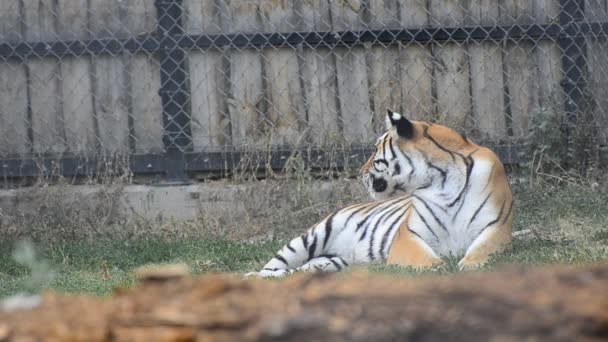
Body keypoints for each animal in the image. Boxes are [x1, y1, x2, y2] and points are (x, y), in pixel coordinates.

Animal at [245, 110, 510, 278]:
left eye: (375, 150)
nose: (360, 171)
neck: (442, 180)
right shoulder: (408, 236)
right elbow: (426, 259)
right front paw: (440, 267)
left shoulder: (496, 228)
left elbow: (481, 250)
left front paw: (468, 265)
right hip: (311, 236)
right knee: (271, 267)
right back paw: (251, 276)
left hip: (331, 262)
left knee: (300, 270)